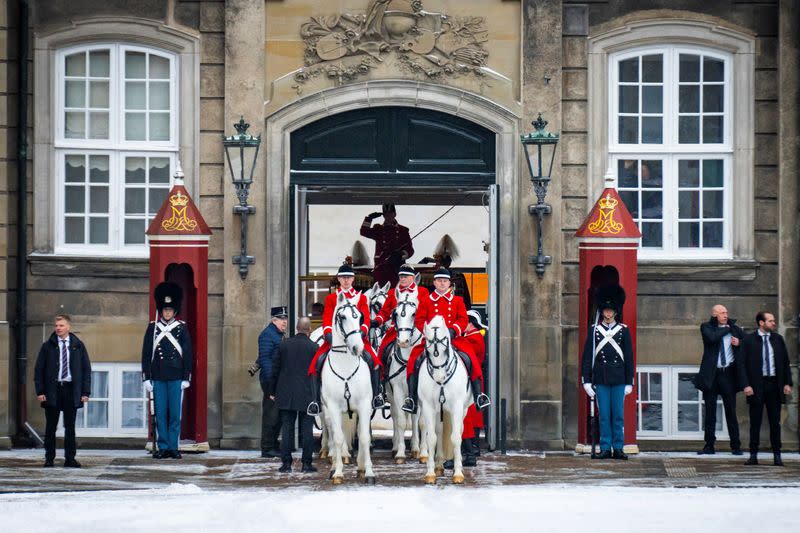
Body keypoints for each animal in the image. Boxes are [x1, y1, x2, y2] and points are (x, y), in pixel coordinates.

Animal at [320, 288, 376, 484]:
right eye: (342, 317)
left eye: (359, 317)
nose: (357, 347)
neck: (345, 365)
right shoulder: (333, 407)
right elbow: (338, 438)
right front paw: (337, 472)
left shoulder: (365, 404)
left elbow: (365, 437)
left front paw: (369, 472)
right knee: (332, 432)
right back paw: (333, 465)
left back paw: (360, 466)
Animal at [416, 318, 472, 484]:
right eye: (428, 342)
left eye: (444, 340)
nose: (439, 376)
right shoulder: (428, 406)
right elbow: (432, 438)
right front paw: (430, 473)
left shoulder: (457, 407)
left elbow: (456, 437)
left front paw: (458, 473)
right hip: (438, 411)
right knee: (439, 431)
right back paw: (439, 465)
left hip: (462, 409)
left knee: (459, 431)